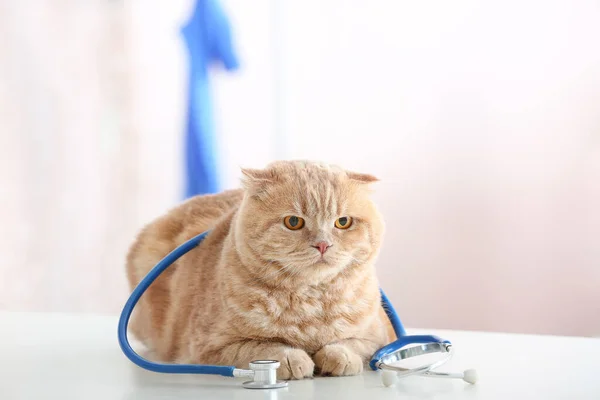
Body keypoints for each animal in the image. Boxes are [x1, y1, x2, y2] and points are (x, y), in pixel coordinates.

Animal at [125, 159, 396, 378]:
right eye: (293, 222)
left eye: (343, 222)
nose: (323, 244)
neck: (310, 305)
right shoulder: (210, 347)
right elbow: (262, 347)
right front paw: (292, 358)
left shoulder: (380, 336)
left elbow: (354, 344)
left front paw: (339, 356)